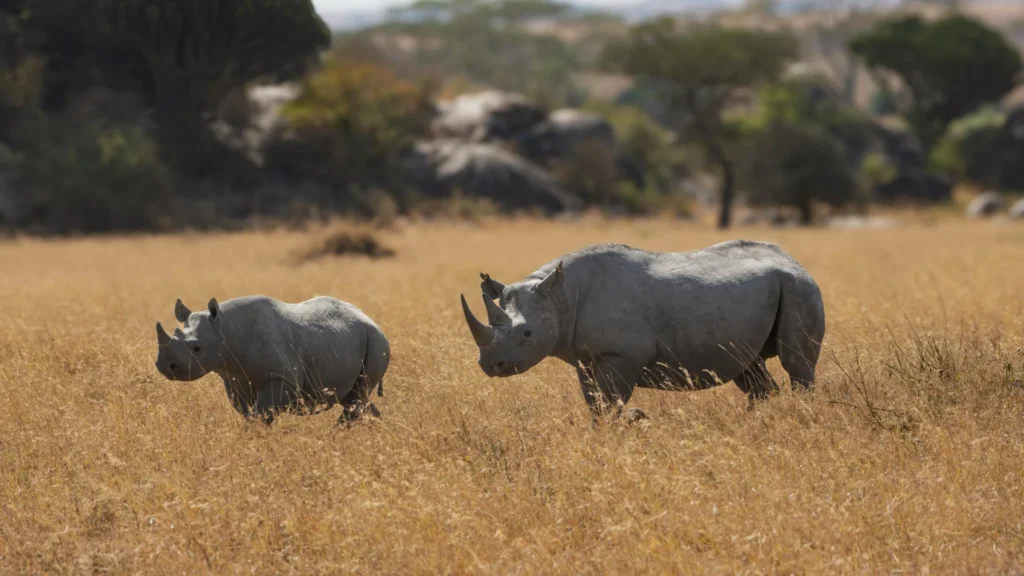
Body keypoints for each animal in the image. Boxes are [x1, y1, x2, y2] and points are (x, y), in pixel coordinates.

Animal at [154, 295, 390, 425]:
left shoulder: (281, 378)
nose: (165, 366)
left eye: (197, 348)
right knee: (354, 398)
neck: (225, 329)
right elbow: (247, 412)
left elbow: (262, 412)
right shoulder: (234, 378)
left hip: (376, 341)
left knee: (357, 397)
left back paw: (339, 433)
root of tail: (370, 319)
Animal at [460, 241, 825, 419]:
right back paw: (755, 421)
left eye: (527, 334)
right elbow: (595, 404)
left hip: (800, 287)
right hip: (772, 292)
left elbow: (611, 402)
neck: (561, 295)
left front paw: (630, 420)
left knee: (797, 364)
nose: (491, 366)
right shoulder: (585, 358)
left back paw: (799, 414)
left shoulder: (622, 355)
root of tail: (793, 260)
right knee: (749, 367)